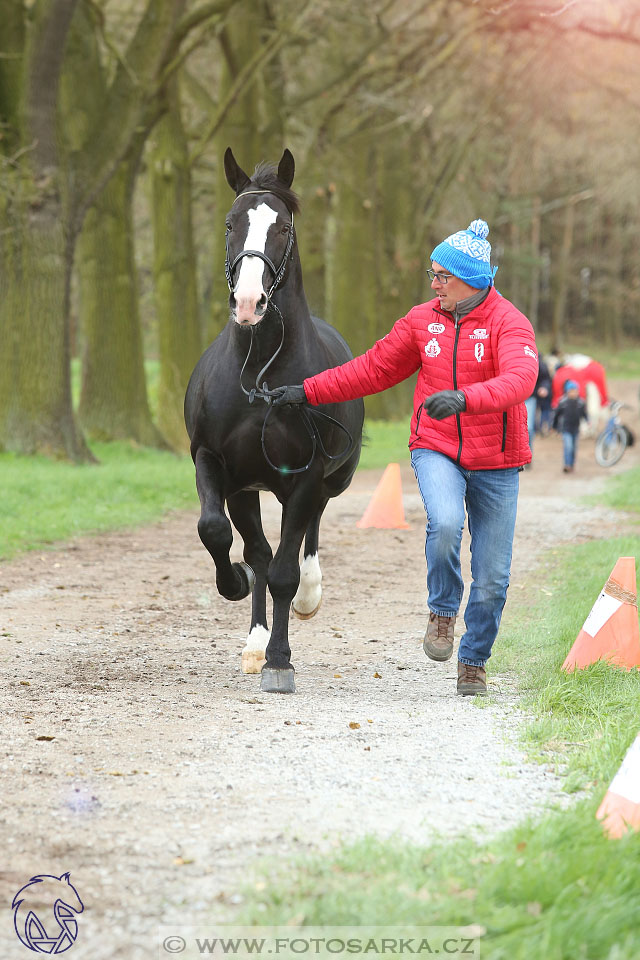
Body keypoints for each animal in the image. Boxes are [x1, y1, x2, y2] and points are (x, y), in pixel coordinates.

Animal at [185, 148, 364, 688]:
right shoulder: (215, 464)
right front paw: (234, 586)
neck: (261, 371)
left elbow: (286, 568)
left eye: (283, 227)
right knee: (261, 551)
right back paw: (255, 640)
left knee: (305, 538)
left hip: (326, 481)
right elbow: (218, 533)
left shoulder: (305, 476)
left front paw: (280, 660)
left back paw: (307, 596)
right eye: (230, 224)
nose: (248, 303)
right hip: (249, 488)